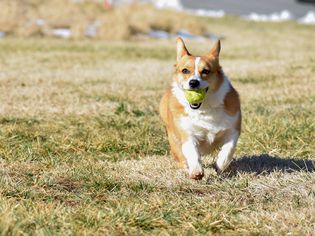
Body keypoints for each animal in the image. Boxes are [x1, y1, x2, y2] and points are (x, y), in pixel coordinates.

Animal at [160, 37, 242, 180]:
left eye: (206, 71)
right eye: (185, 70)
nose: (193, 82)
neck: (204, 109)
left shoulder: (233, 130)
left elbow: (228, 149)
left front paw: (220, 166)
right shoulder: (187, 134)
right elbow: (192, 152)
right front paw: (196, 171)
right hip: (173, 138)